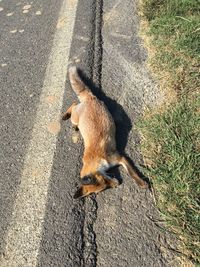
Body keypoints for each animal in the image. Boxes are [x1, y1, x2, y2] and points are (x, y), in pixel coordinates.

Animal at [62, 67, 148, 199]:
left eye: (104, 182)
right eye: (104, 187)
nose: (117, 184)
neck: (97, 159)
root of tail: (90, 98)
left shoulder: (119, 157)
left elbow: (132, 173)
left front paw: (141, 183)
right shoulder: (118, 158)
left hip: (76, 115)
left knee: (73, 104)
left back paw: (65, 116)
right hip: (76, 117)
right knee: (73, 105)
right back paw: (71, 122)